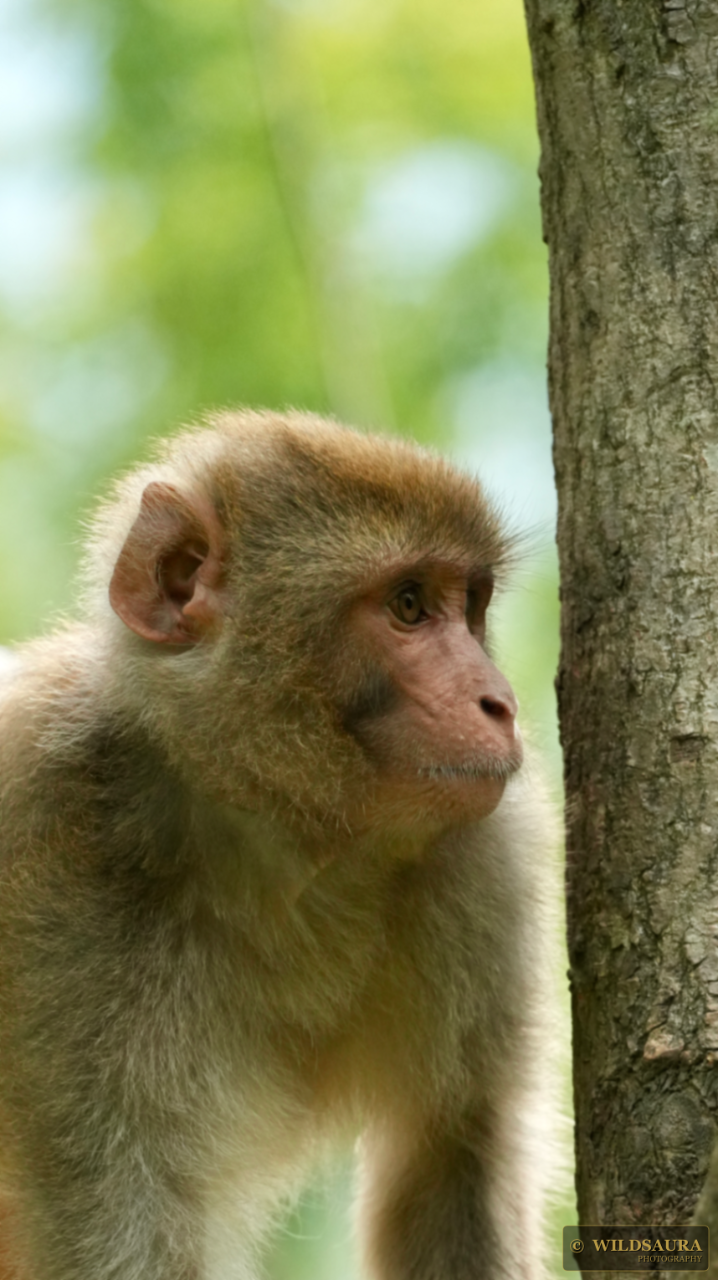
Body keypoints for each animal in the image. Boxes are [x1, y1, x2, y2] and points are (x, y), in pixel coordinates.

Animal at [0, 409, 557, 1280]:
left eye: (469, 605)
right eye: (408, 606)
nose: (498, 702)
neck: (281, 838)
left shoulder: (484, 856)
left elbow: (453, 1155)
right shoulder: (46, 840)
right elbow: (118, 1227)